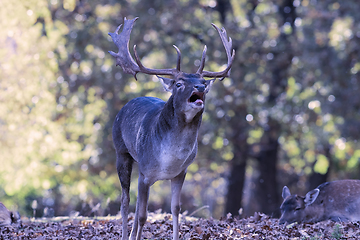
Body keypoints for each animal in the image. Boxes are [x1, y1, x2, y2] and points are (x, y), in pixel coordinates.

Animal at [108, 17, 235, 240]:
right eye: (178, 83)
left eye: (203, 81)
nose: (200, 88)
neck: (170, 158)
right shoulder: (146, 172)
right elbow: (143, 216)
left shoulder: (180, 172)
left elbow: (175, 209)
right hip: (121, 151)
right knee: (125, 201)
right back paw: (125, 235)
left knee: (136, 203)